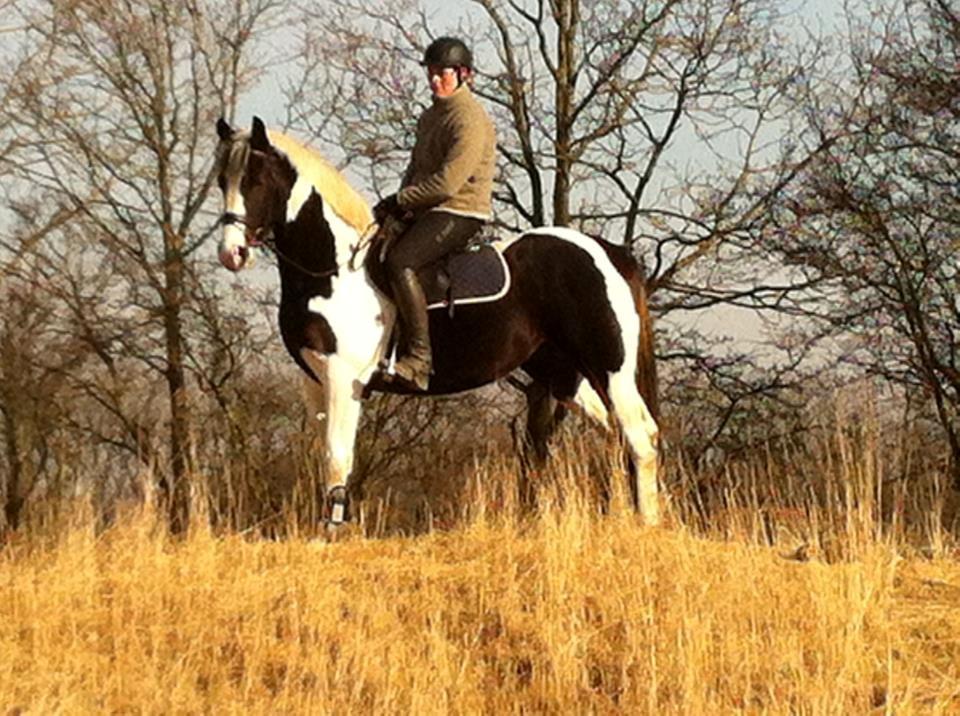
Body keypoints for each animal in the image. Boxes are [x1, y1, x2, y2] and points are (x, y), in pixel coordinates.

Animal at [214, 117, 660, 528]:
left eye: (255, 180)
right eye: (222, 180)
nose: (231, 253)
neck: (334, 270)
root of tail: (609, 253)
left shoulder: (344, 378)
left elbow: (337, 454)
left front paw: (332, 529)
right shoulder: (315, 381)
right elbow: (323, 453)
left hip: (610, 369)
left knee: (640, 436)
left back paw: (648, 524)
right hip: (564, 374)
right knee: (616, 437)